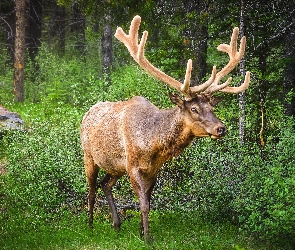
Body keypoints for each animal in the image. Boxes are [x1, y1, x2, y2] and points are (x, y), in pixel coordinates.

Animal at [81, 16, 252, 242]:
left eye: (212, 108)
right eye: (194, 108)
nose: (221, 128)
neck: (153, 144)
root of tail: (87, 113)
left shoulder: (153, 169)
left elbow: (148, 202)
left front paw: (141, 231)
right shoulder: (133, 166)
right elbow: (144, 205)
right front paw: (147, 238)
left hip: (115, 166)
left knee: (105, 184)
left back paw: (116, 225)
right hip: (89, 156)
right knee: (91, 190)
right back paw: (90, 226)